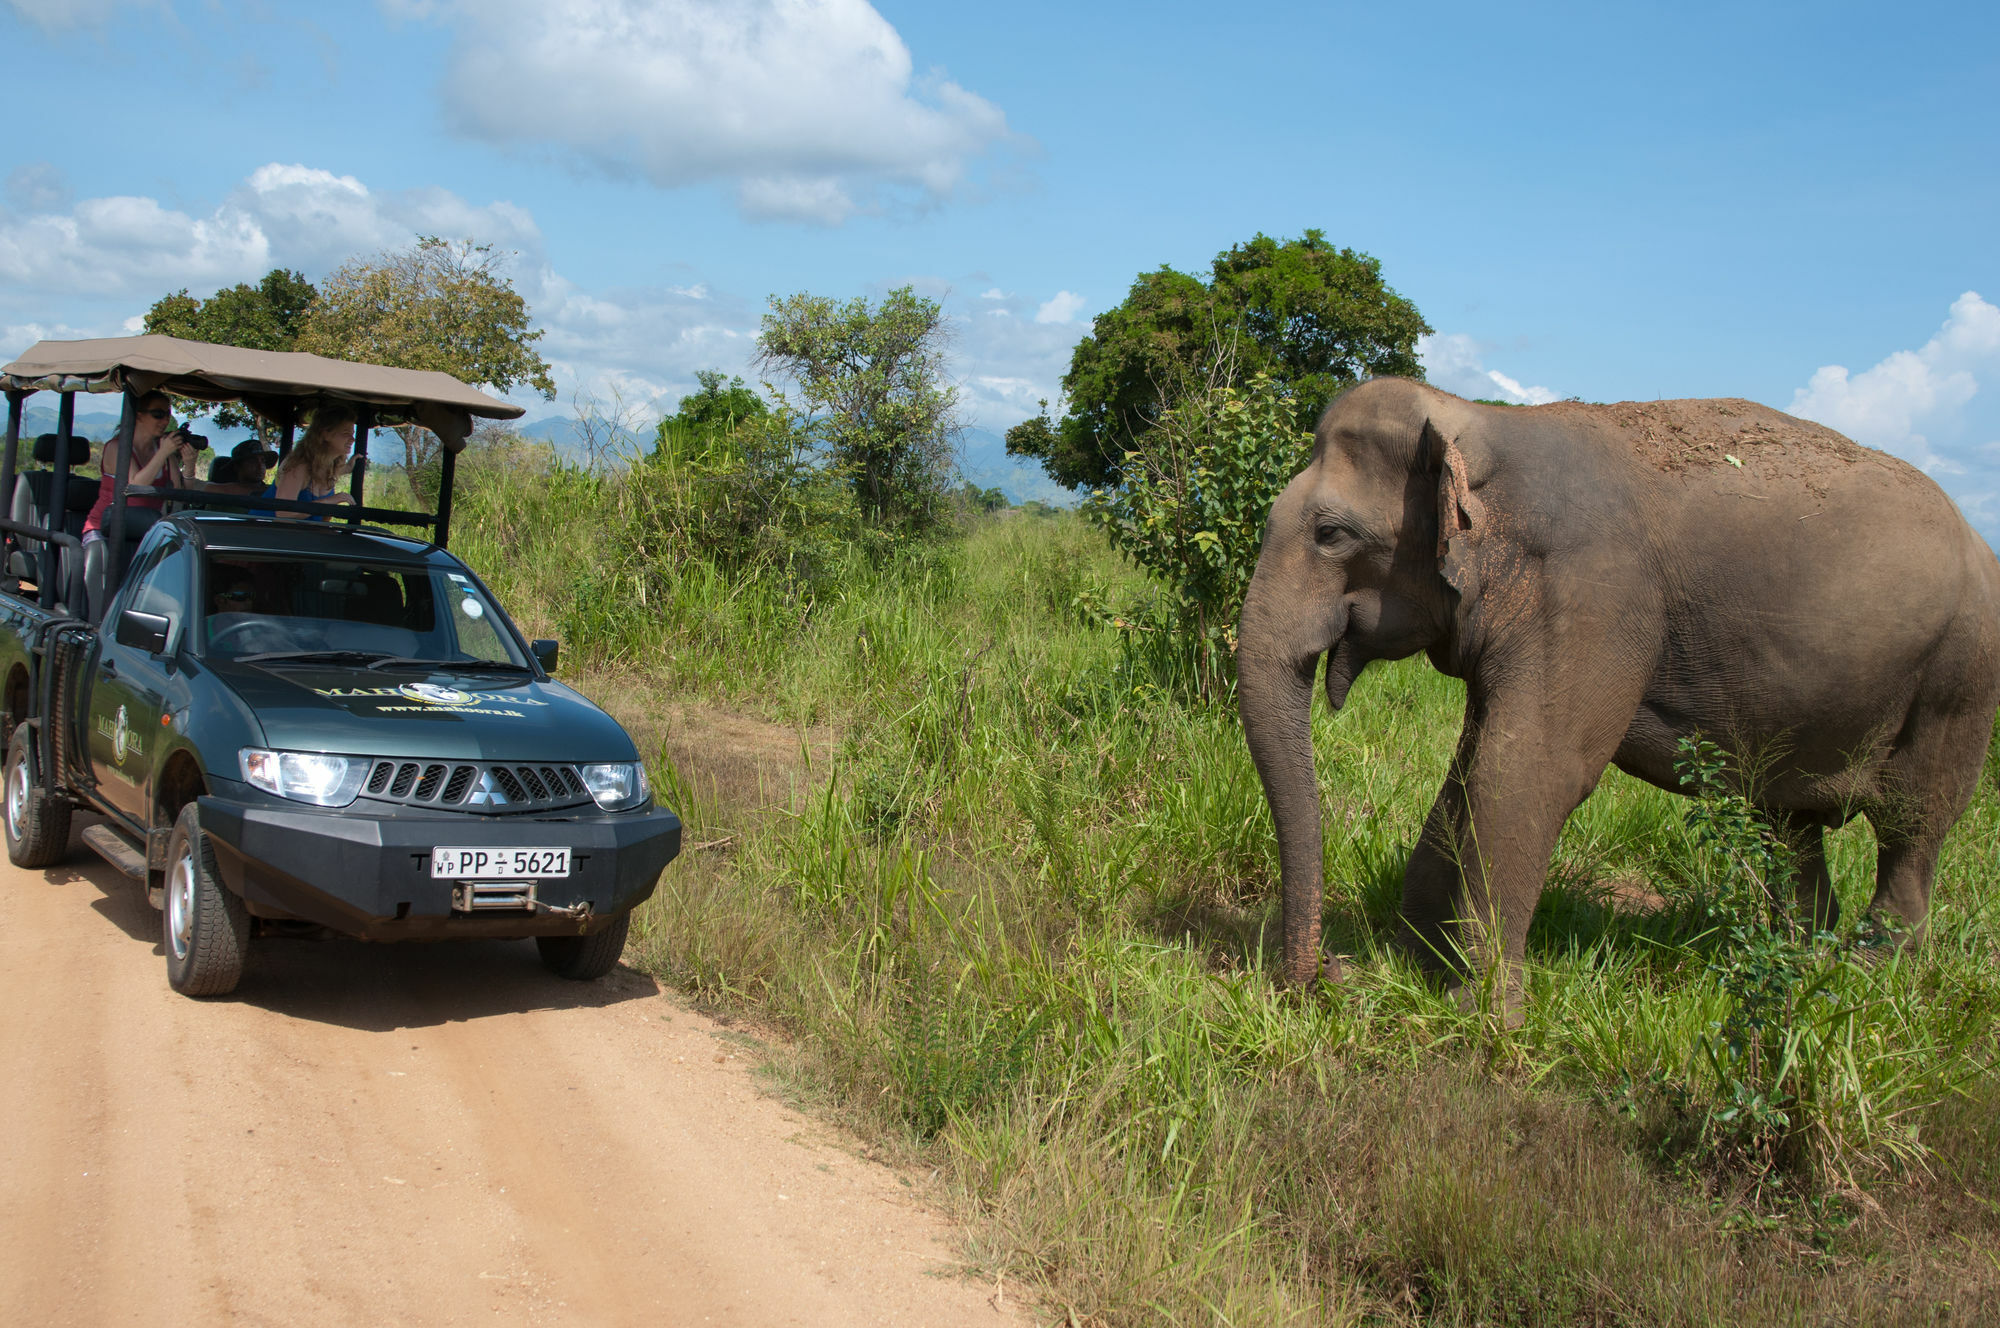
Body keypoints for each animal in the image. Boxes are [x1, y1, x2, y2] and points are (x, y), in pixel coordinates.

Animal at [1232, 378, 2000, 1000]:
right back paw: (1803, 963)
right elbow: (1470, 770)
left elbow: (1527, 773)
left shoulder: (1591, 595)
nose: (1327, 974)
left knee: (1911, 826)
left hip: (1959, 677)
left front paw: (1480, 1013)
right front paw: (1412, 967)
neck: (1480, 423)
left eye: (1331, 534)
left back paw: (1867, 977)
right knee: (1789, 825)